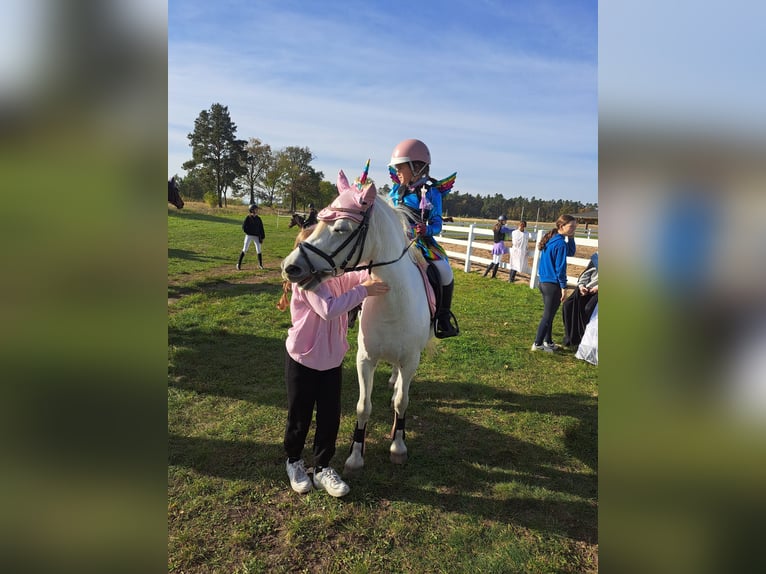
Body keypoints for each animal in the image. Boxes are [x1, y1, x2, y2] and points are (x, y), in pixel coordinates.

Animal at [282, 170, 436, 472]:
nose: (290, 266)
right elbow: (363, 406)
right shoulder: (365, 359)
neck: (393, 303)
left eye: (341, 228)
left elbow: (402, 401)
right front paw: (355, 457)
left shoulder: (411, 360)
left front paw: (398, 447)